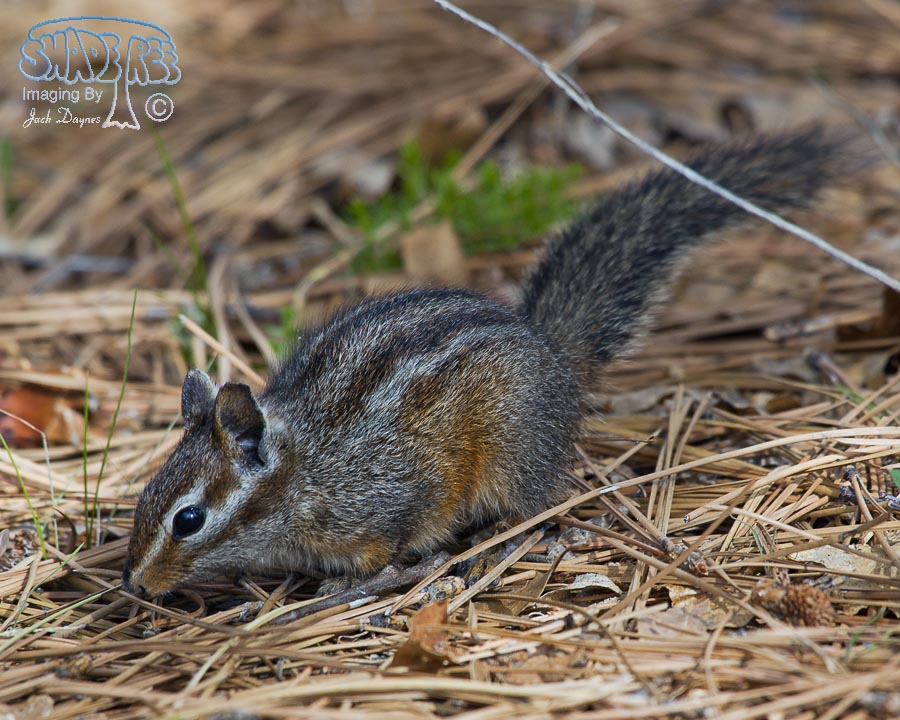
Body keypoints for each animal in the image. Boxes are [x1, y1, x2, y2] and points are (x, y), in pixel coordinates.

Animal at [123, 128, 852, 596]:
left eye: (189, 520)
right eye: (144, 498)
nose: (134, 583)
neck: (302, 474)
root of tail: (550, 350)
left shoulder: (392, 499)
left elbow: (393, 547)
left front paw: (356, 586)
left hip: (508, 450)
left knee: (535, 504)